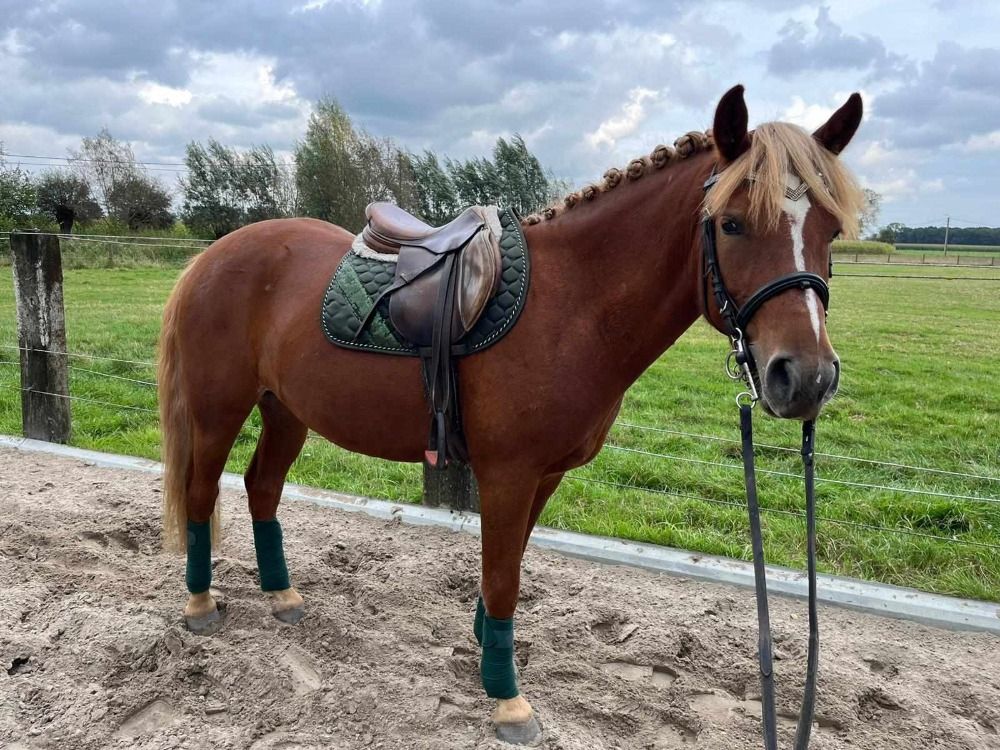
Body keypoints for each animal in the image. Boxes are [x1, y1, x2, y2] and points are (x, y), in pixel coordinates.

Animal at [157, 85, 864, 745]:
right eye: (734, 224)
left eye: (830, 230)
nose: (806, 378)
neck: (574, 303)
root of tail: (212, 256)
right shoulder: (507, 474)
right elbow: (503, 578)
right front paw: (507, 699)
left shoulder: (543, 475)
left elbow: (511, 563)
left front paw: (484, 648)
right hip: (219, 410)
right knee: (201, 492)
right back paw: (199, 604)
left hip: (285, 411)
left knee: (261, 488)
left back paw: (281, 596)